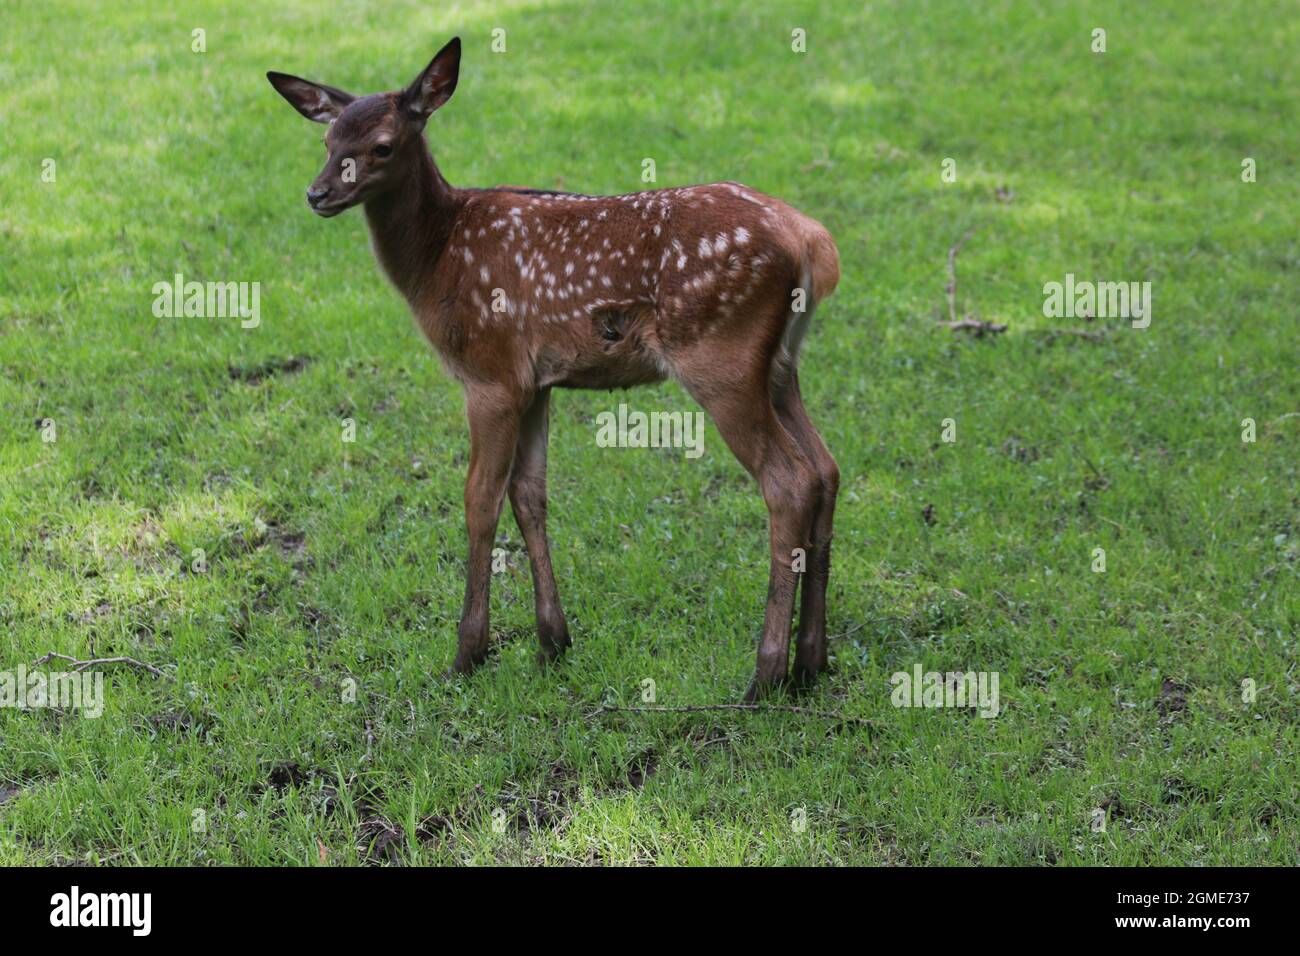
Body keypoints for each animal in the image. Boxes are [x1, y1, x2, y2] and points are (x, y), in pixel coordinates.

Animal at [267, 38, 841, 701]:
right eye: (327, 140)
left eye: (382, 145)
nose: (316, 194)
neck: (437, 261)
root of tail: (812, 242)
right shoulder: (536, 382)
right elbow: (529, 494)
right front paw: (552, 642)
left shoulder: (489, 373)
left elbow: (479, 499)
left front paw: (468, 653)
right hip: (779, 366)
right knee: (825, 469)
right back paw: (811, 661)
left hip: (721, 358)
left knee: (788, 481)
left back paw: (764, 676)